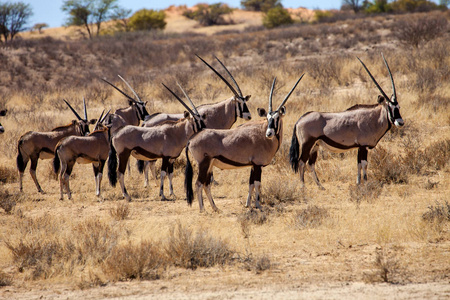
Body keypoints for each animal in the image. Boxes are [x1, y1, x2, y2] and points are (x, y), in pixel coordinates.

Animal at [139, 55, 251, 186]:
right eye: (239, 103)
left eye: (245, 101)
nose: (249, 116)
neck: (217, 114)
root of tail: (146, 121)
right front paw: (213, 180)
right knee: (148, 163)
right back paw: (148, 183)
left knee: (149, 163)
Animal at [185, 74, 304, 211]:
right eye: (267, 118)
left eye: (277, 118)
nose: (269, 133)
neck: (262, 133)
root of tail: (191, 140)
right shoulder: (257, 164)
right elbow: (257, 184)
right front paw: (258, 205)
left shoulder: (252, 165)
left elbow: (250, 184)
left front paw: (248, 204)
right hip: (203, 164)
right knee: (198, 184)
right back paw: (202, 209)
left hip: (209, 165)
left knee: (206, 185)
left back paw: (215, 208)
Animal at [290, 54, 406, 188]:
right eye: (389, 108)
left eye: (398, 107)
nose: (400, 122)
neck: (373, 119)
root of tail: (299, 120)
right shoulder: (363, 146)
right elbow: (364, 164)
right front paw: (366, 183)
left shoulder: (360, 147)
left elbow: (359, 164)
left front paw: (358, 183)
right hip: (307, 144)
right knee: (301, 162)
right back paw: (303, 187)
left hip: (315, 145)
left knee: (310, 163)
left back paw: (320, 186)